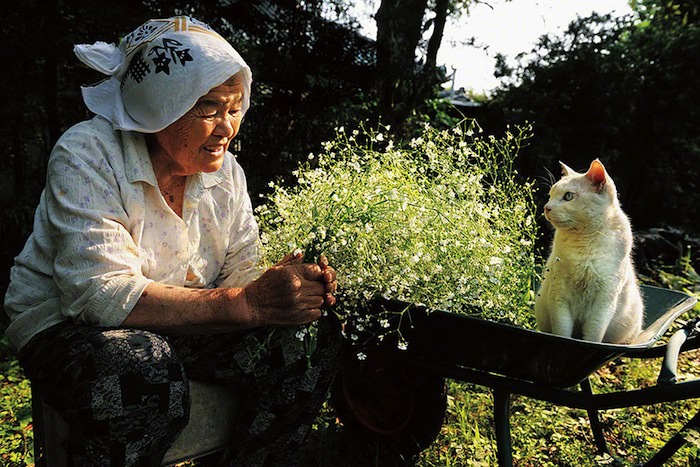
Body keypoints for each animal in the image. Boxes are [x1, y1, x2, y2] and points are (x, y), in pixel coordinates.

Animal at [536, 160, 644, 344]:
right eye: (550, 195)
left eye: (568, 196)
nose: (546, 207)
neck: (584, 244)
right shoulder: (559, 297)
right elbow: (562, 332)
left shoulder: (604, 301)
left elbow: (593, 336)